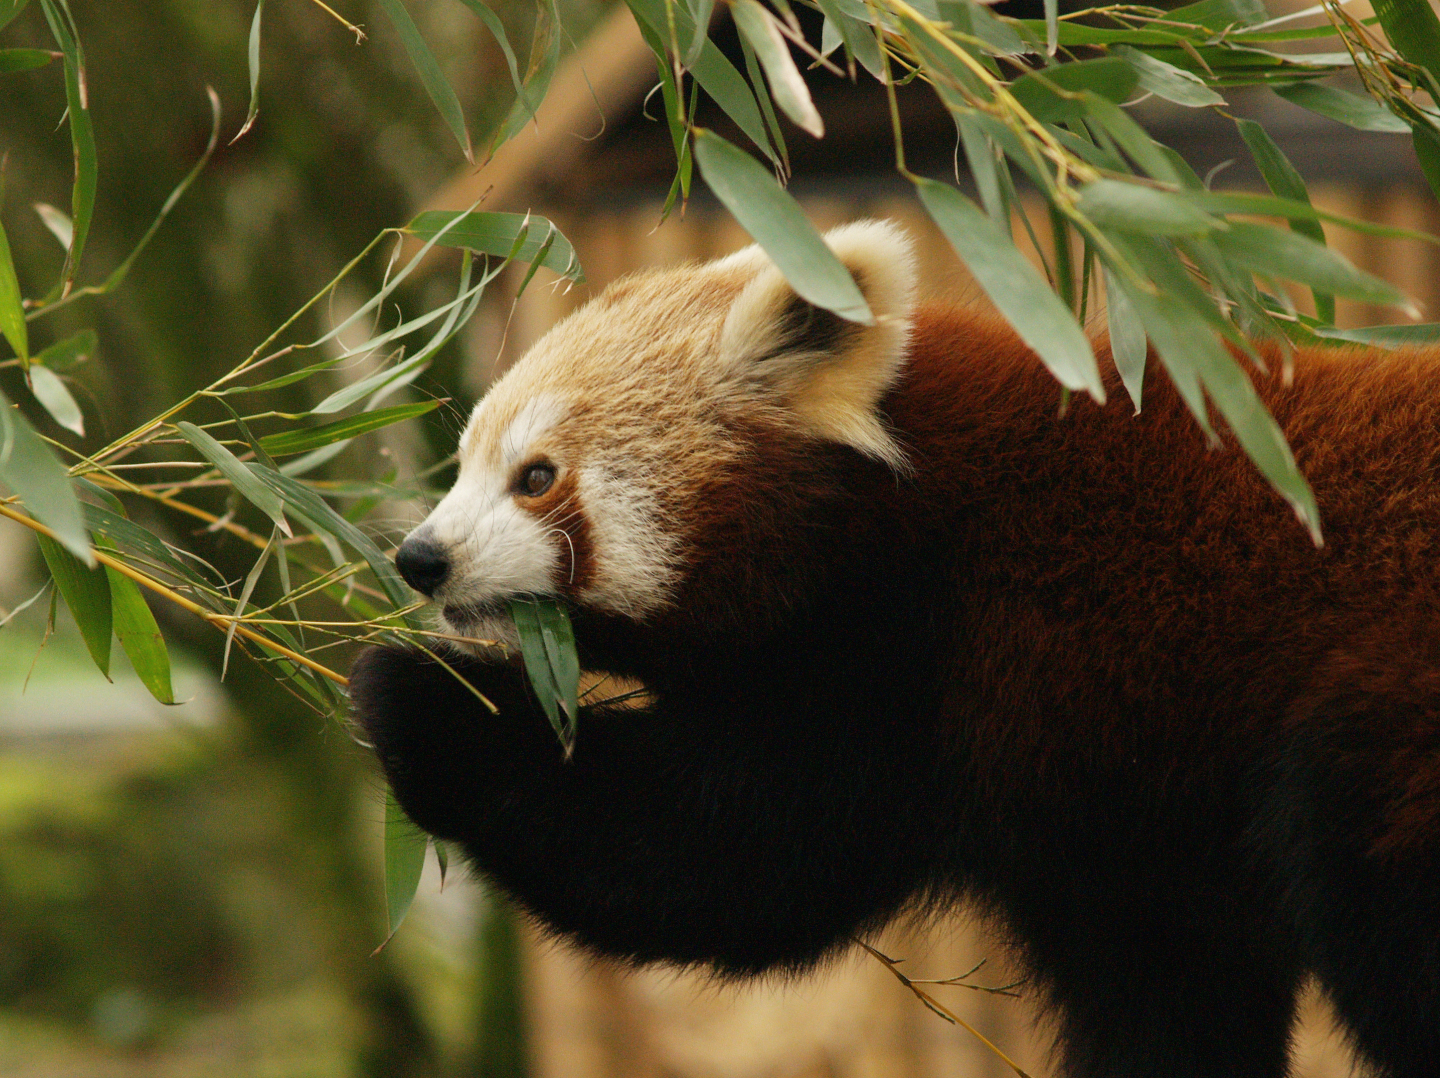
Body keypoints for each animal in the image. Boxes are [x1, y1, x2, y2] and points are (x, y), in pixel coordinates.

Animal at [351, 221, 1440, 1078]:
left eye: (535, 476)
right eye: (462, 463)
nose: (421, 557)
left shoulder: (924, 663)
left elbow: (724, 855)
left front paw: (410, 691)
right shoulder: (1115, 814)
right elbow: (1167, 982)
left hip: (1380, 724)